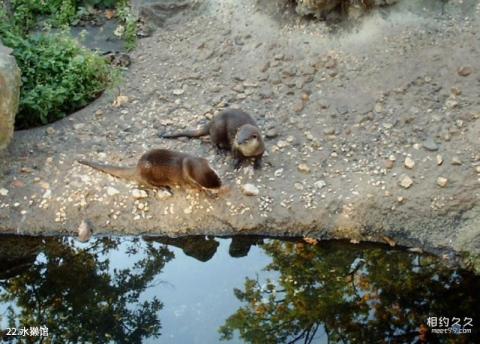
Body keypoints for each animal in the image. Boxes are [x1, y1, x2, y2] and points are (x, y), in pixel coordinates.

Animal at [78, 148, 222, 191]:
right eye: (213, 185)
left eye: (218, 177)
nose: (220, 185)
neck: (190, 163)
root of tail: (137, 167)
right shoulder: (187, 179)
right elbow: (193, 186)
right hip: (148, 173)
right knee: (147, 184)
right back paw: (162, 187)